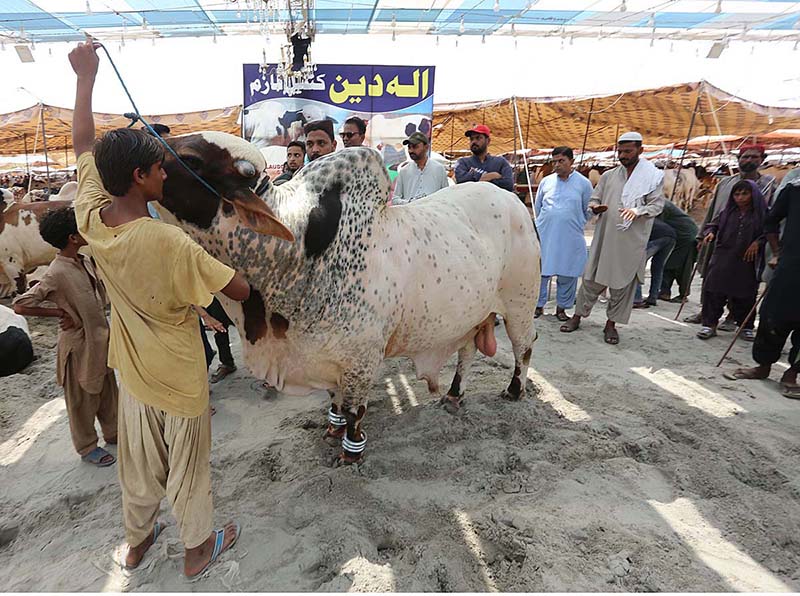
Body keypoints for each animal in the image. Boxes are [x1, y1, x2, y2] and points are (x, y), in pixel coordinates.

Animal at [155, 133, 544, 464]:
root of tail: (514, 200)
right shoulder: (328, 358)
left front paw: (350, 452)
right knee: (466, 352)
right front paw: (332, 429)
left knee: (524, 347)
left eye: (189, 158)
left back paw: (514, 390)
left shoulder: (362, 359)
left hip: (520, 306)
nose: (141, 136)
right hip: (471, 315)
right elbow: (337, 402)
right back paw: (453, 394)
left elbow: (355, 410)